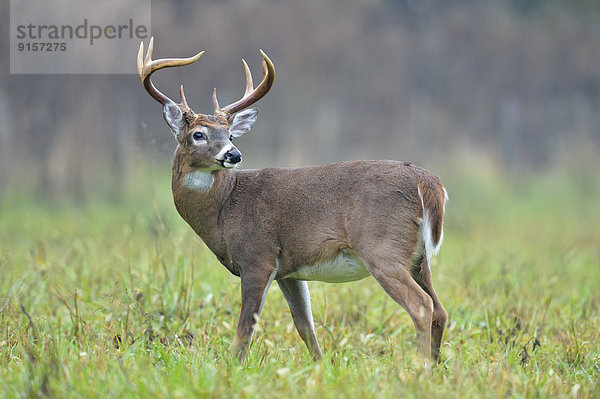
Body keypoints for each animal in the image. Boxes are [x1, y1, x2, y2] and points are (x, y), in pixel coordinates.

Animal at [139, 38, 450, 366]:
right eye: (198, 134)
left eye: (230, 135)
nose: (233, 154)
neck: (225, 209)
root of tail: (428, 182)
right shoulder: (288, 270)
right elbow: (304, 326)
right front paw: (321, 366)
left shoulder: (257, 256)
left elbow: (245, 328)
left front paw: (232, 367)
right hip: (418, 258)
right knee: (440, 310)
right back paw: (435, 366)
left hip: (383, 248)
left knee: (421, 305)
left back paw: (420, 367)